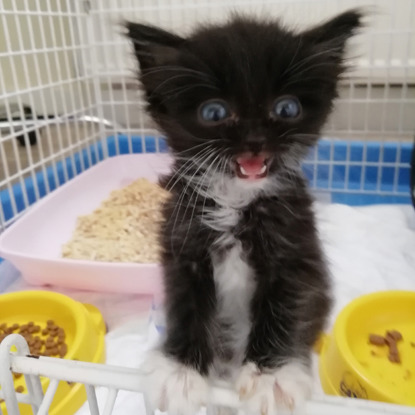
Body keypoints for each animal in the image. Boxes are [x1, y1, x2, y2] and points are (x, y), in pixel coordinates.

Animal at [127, 10, 364, 415]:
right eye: (214, 112)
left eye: (286, 108)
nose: (255, 141)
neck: (236, 202)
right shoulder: (182, 246)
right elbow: (187, 305)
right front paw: (180, 369)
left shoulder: (295, 249)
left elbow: (284, 305)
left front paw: (272, 376)